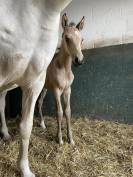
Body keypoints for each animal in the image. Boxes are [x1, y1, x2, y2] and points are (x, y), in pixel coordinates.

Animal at [38, 13, 85, 145]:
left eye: (82, 40)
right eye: (67, 38)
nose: (79, 60)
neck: (64, 70)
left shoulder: (67, 90)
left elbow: (68, 111)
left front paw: (71, 139)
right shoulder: (56, 90)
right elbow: (59, 112)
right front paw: (59, 139)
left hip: (44, 88)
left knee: (39, 102)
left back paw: (43, 124)